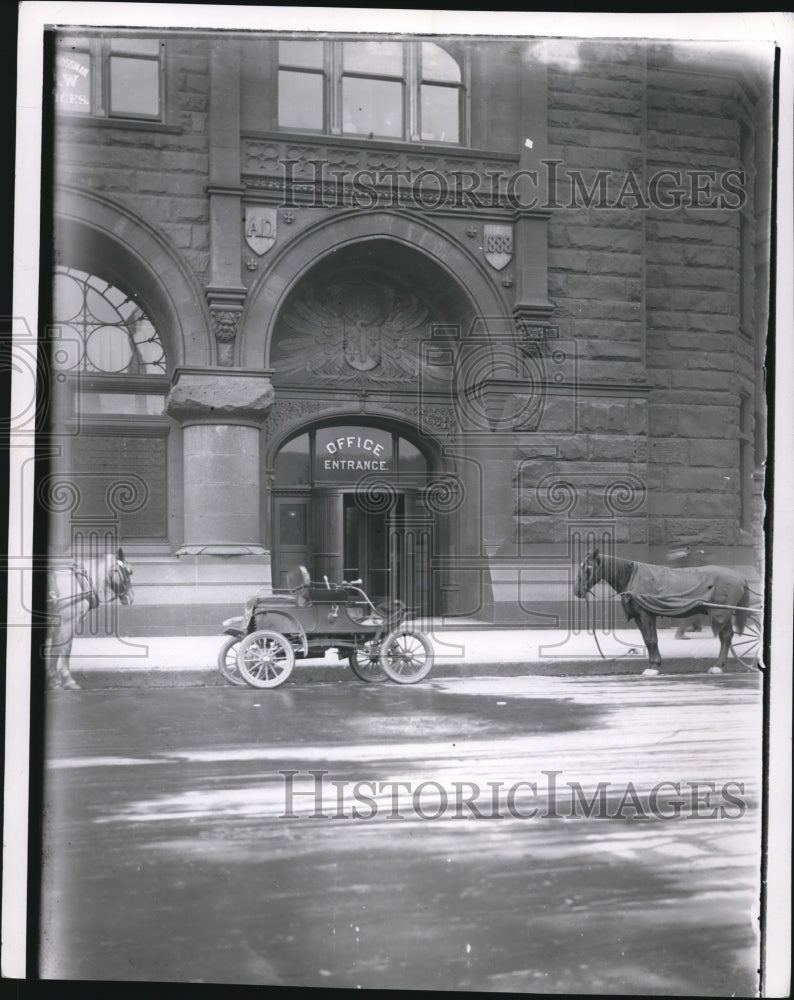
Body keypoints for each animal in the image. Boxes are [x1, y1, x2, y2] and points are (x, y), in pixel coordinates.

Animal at [44, 548, 134, 688]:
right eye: (127, 571)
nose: (131, 597)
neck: (78, 582)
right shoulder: (67, 623)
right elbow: (64, 649)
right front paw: (65, 680)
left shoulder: (58, 625)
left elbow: (56, 649)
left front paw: (54, 680)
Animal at [576, 548, 748, 680]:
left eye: (588, 568)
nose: (577, 591)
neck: (633, 577)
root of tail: (740, 576)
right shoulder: (639, 617)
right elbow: (647, 640)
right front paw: (652, 664)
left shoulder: (646, 615)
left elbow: (652, 640)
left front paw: (654, 667)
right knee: (726, 636)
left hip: (722, 612)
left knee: (726, 636)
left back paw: (718, 666)